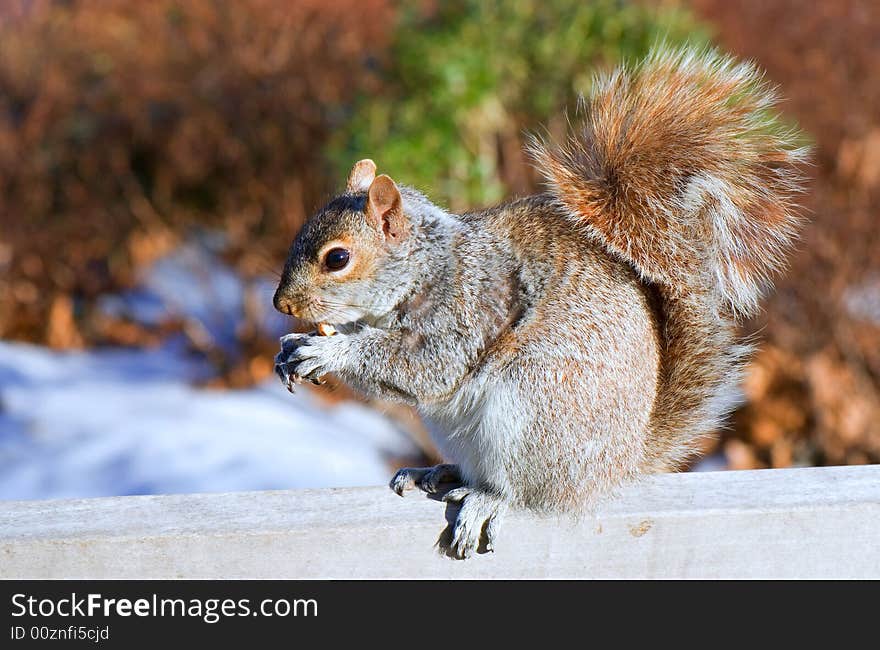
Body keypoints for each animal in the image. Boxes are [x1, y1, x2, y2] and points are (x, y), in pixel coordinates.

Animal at [272, 48, 808, 556]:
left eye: (338, 258)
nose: (281, 304)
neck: (426, 265)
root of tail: (619, 465)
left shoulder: (468, 306)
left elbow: (426, 365)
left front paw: (328, 351)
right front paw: (294, 346)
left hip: (536, 410)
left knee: (529, 494)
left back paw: (488, 499)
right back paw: (439, 473)